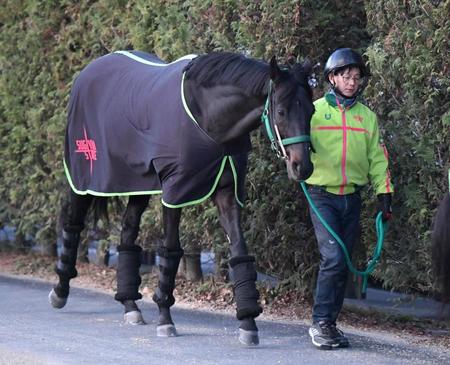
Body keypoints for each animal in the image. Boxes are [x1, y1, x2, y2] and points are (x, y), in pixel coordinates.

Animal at [48, 50, 312, 344]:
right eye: (281, 111)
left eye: (311, 110)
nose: (303, 167)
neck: (207, 117)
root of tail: (87, 72)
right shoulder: (175, 193)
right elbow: (171, 251)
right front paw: (165, 319)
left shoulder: (227, 194)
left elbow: (239, 252)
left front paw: (248, 324)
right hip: (83, 177)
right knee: (73, 224)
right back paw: (60, 292)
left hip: (139, 184)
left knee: (127, 233)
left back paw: (130, 306)